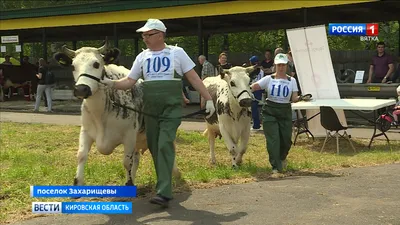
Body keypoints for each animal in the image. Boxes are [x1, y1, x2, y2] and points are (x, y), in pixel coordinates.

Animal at [53, 41, 180, 186]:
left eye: (96, 64)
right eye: (73, 66)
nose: (81, 89)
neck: (101, 115)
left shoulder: (129, 135)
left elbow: (126, 162)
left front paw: (129, 183)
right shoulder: (85, 131)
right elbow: (81, 155)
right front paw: (77, 182)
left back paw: (176, 175)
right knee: (137, 158)